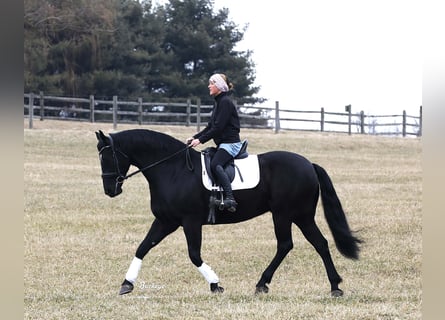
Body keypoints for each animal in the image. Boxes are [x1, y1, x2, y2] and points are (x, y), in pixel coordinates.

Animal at [96, 129, 360, 296]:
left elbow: (194, 254)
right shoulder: (165, 221)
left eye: (108, 156)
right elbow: (142, 247)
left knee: (288, 244)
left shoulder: (190, 222)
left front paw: (215, 285)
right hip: (300, 216)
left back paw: (266, 284)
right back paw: (333, 285)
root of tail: (309, 165)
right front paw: (126, 284)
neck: (173, 169)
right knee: (319, 243)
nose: (110, 190)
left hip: (286, 214)